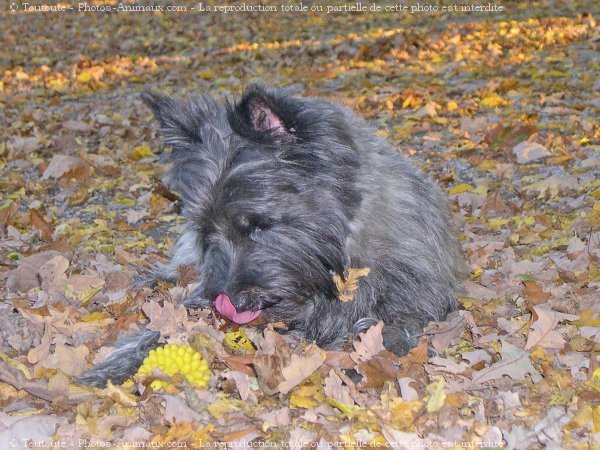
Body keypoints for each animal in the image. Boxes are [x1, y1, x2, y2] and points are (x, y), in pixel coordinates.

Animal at [78, 86, 464, 388]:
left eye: (259, 225)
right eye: (208, 230)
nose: (229, 303)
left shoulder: (417, 300)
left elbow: (390, 329)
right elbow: (167, 326)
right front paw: (116, 363)